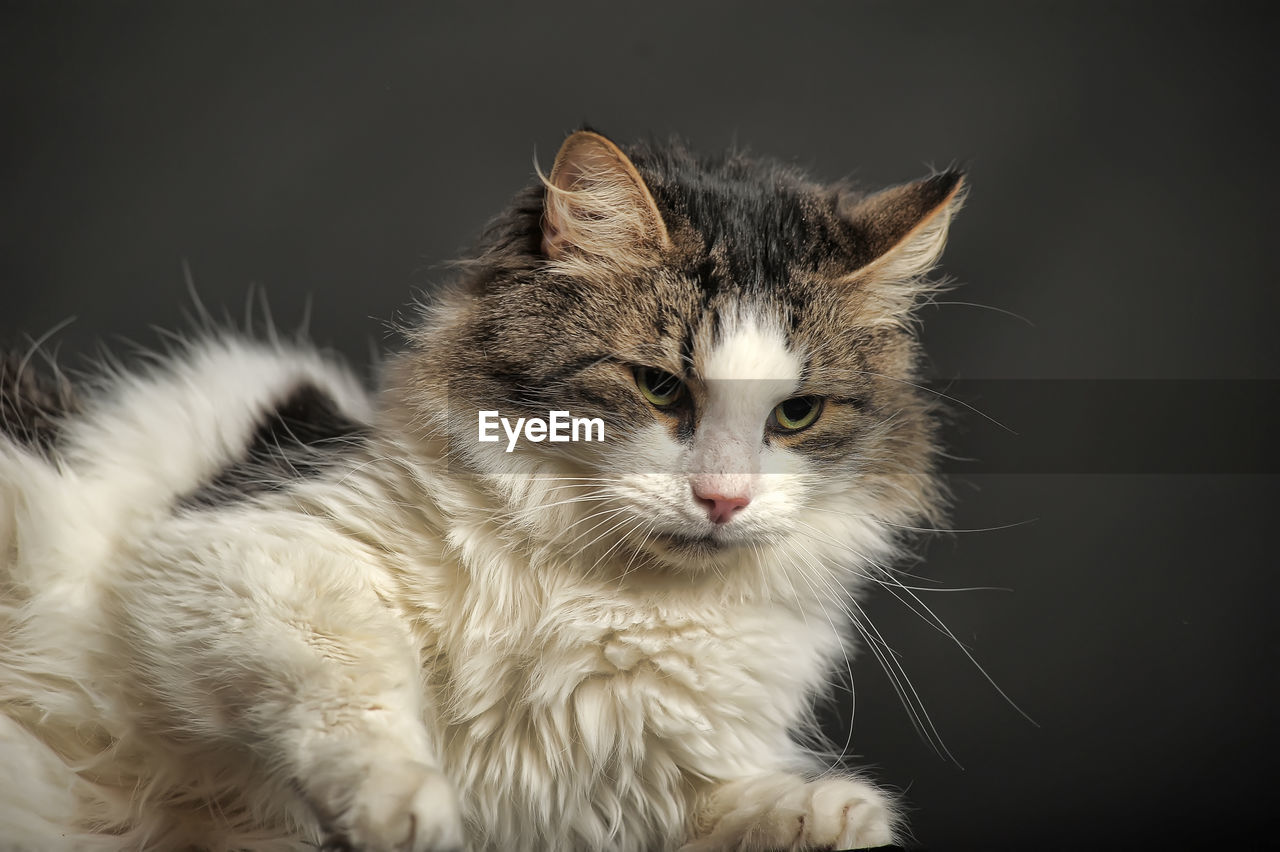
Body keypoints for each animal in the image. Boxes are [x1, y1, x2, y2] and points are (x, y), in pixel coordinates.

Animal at [0, 127, 962, 849]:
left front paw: (827, 811)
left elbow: (720, 805)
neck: (607, 594)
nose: (724, 499)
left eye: (796, 414)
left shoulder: (596, 804)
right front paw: (405, 807)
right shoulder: (240, 553)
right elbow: (353, 692)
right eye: (659, 388)